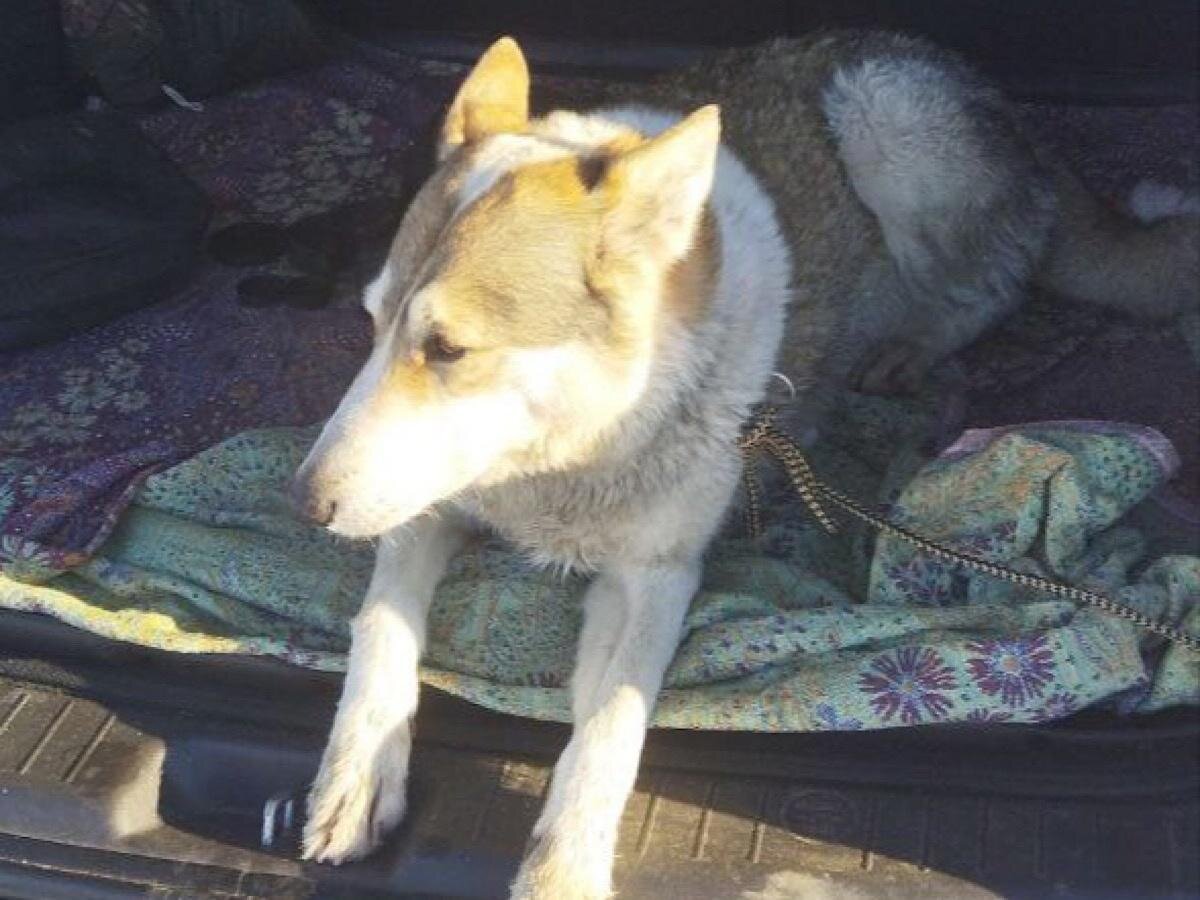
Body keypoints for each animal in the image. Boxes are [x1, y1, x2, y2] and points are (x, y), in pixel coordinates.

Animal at [289, 32, 1198, 899]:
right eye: (370, 323)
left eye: (447, 348)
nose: (304, 505)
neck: (561, 462)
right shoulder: (426, 511)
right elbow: (380, 631)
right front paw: (357, 779)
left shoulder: (656, 576)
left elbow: (611, 722)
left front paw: (565, 865)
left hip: (888, 124)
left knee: (990, 287)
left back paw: (908, 349)